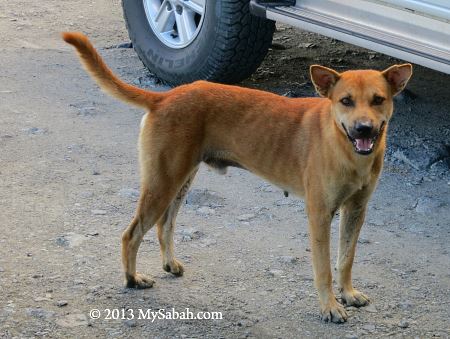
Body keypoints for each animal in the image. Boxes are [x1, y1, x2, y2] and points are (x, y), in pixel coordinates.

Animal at [62, 31, 412, 324]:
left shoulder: (356, 210)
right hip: (163, 182)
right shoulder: (320, 214)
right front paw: (329, 306)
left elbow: (346, 258)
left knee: (165, 224)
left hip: (180, 180)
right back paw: (132, 280)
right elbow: (324, 268)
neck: (343, 145)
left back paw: (168, 264)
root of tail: (165, 97)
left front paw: (348, 293)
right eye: (346, 101)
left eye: (378, 100)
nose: (364, 129)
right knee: (131, 234)